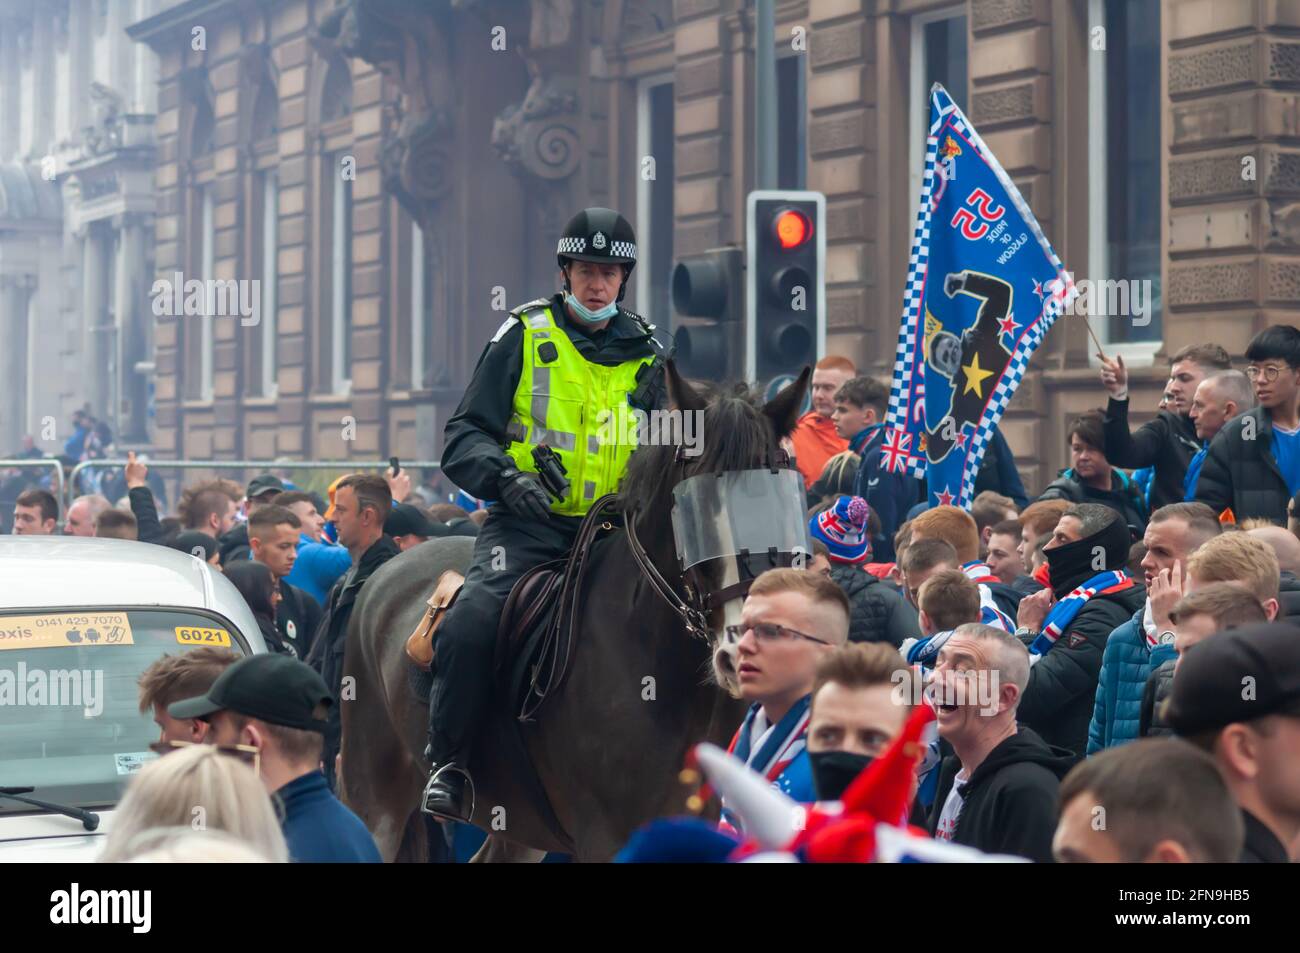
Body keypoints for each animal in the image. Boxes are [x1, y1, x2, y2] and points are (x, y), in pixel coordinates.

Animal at [340, 361, 806, 858]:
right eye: (692, 508)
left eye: (781, 499)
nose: (740, 650)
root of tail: (385, 571)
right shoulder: (604, 837)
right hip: (375, 798)